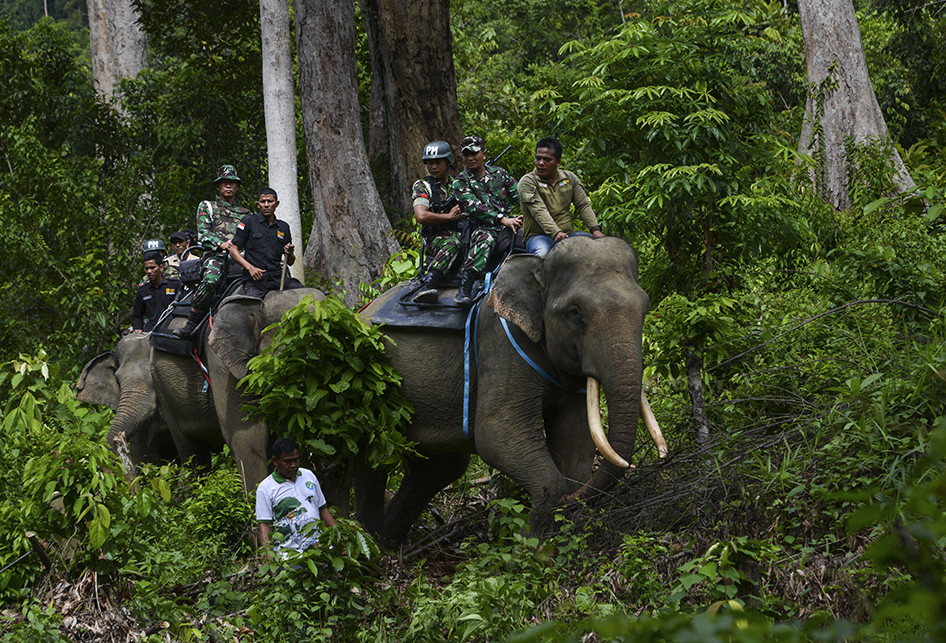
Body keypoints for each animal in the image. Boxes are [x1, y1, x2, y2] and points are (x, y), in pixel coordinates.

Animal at [354, 236, 664, 544]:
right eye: (575, 314)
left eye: (645, 306)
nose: (571, 500)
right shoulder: (500, 341)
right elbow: (496, 433)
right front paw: (530, 541)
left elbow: (575, 437)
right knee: (369, 457)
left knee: (439, 467)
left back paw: (386, 539)